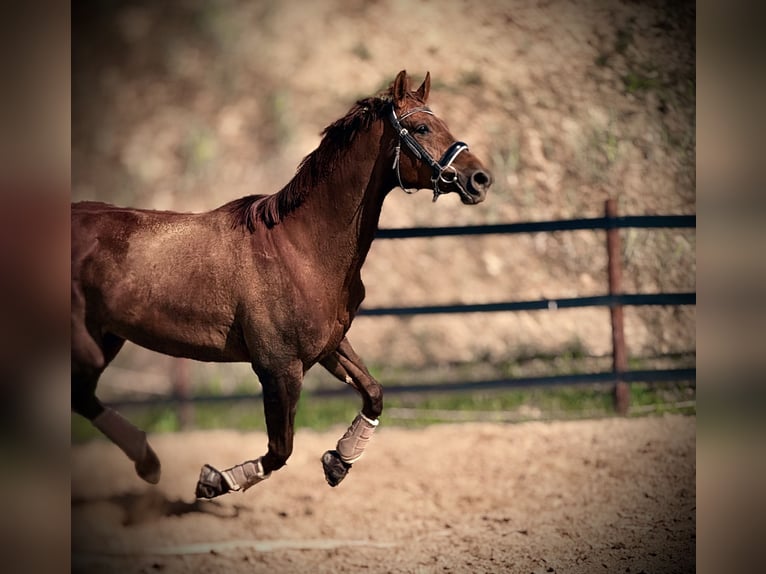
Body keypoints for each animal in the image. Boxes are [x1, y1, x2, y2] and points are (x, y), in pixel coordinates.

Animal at [71, 70, 492, 498]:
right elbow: (280, 450)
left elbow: (374, 393)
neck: (301, 248)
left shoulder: (329, 345)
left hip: (107, 337)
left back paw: (148, 461)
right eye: (422, 128)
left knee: (83, 396)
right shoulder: (279, 369)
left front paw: (338, 462)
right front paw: (213, 481)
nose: (480, 179)